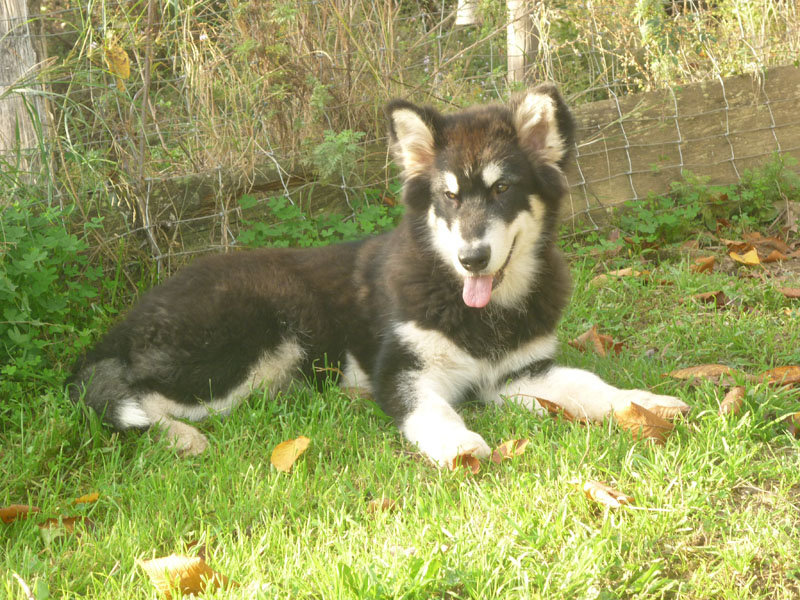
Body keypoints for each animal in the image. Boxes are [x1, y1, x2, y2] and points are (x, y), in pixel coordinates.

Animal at [67, 84, 688, 466]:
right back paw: (182, 437)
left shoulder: (519, 372)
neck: (471, 306)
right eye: (449, 197)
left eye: (504, 189)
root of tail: (122, 326)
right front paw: (458, 443)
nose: (472, 259)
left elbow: (588, 385)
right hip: (247, 344)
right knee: (126, 396)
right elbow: (431, 407)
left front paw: (646, 404)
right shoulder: (403, 369)